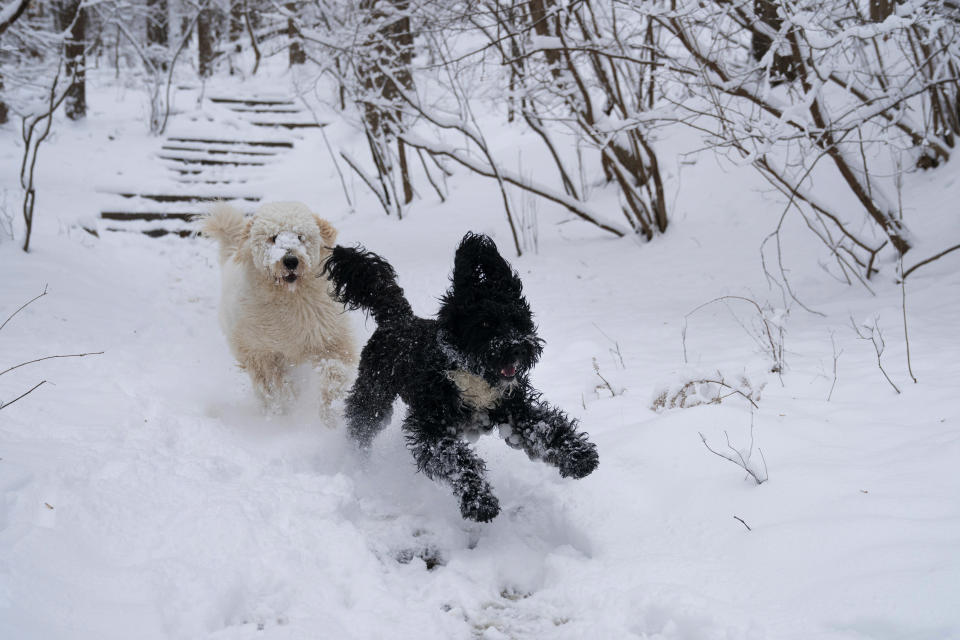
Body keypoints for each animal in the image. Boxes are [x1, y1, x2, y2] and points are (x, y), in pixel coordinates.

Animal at [202, 202, 356, 418]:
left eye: (300, 236)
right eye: (273, 237)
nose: (290, 260)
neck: (289, 297)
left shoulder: (328, 335)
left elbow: (336, 367)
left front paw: (330, 397)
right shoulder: (262, 352)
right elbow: (275, 384)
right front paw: (287, 405)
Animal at [326, 232, 596, 524]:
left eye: (518, 320)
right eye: (485, 324)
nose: (516, 347)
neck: (474, 375)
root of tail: (397, 319)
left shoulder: (513, 409)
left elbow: (546, 426)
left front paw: (579, 456)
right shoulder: (431, 428)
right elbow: (458, 461)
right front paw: (480, 502)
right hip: (373, 395)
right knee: (360, 427)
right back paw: (358, 464)